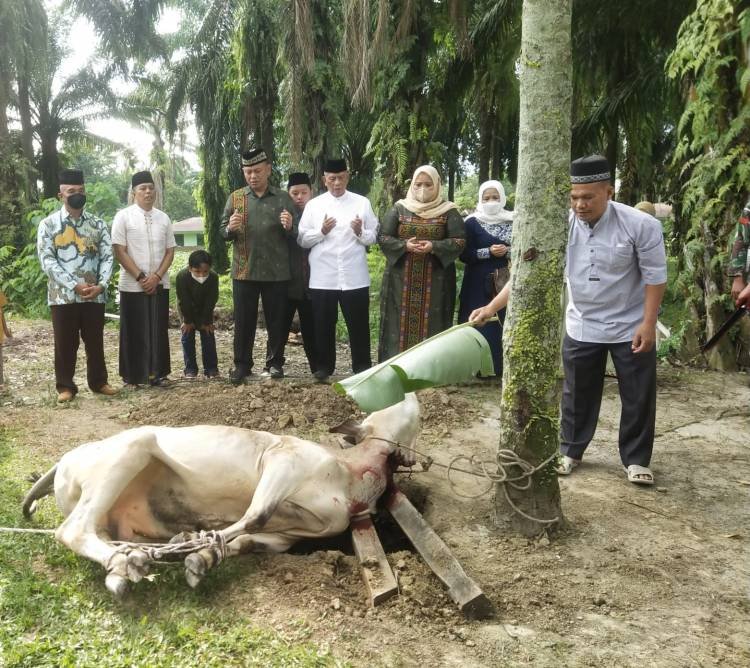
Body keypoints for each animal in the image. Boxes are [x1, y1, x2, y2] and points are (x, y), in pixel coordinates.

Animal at [23, 392, 420, 596]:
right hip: (129, 451)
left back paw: (130, 562)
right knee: (72, 530)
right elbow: (253, 516)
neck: (350, 479)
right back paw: (135, 560)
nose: (412, 393)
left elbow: (247, 540)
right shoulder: (283, 459)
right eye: (388, 408)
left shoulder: (289, 535)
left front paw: (203, 556)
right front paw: (194, 544)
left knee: (103, 537)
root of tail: (64, 461)